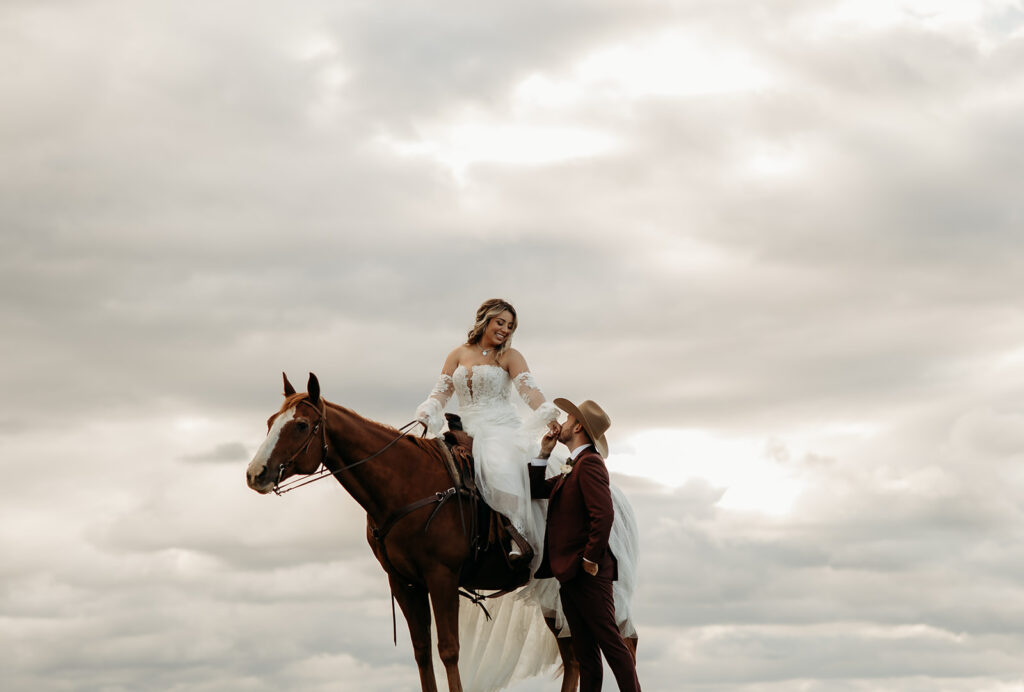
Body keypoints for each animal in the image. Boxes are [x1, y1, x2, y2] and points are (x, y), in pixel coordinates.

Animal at [242, 372, 589, 692]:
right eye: (271, 421)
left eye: (301, 425)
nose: (256, 473)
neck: (409, 485)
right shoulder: (403, 582)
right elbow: (422, 652)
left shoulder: (442, 577)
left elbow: (448, 650)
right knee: (574, 659)